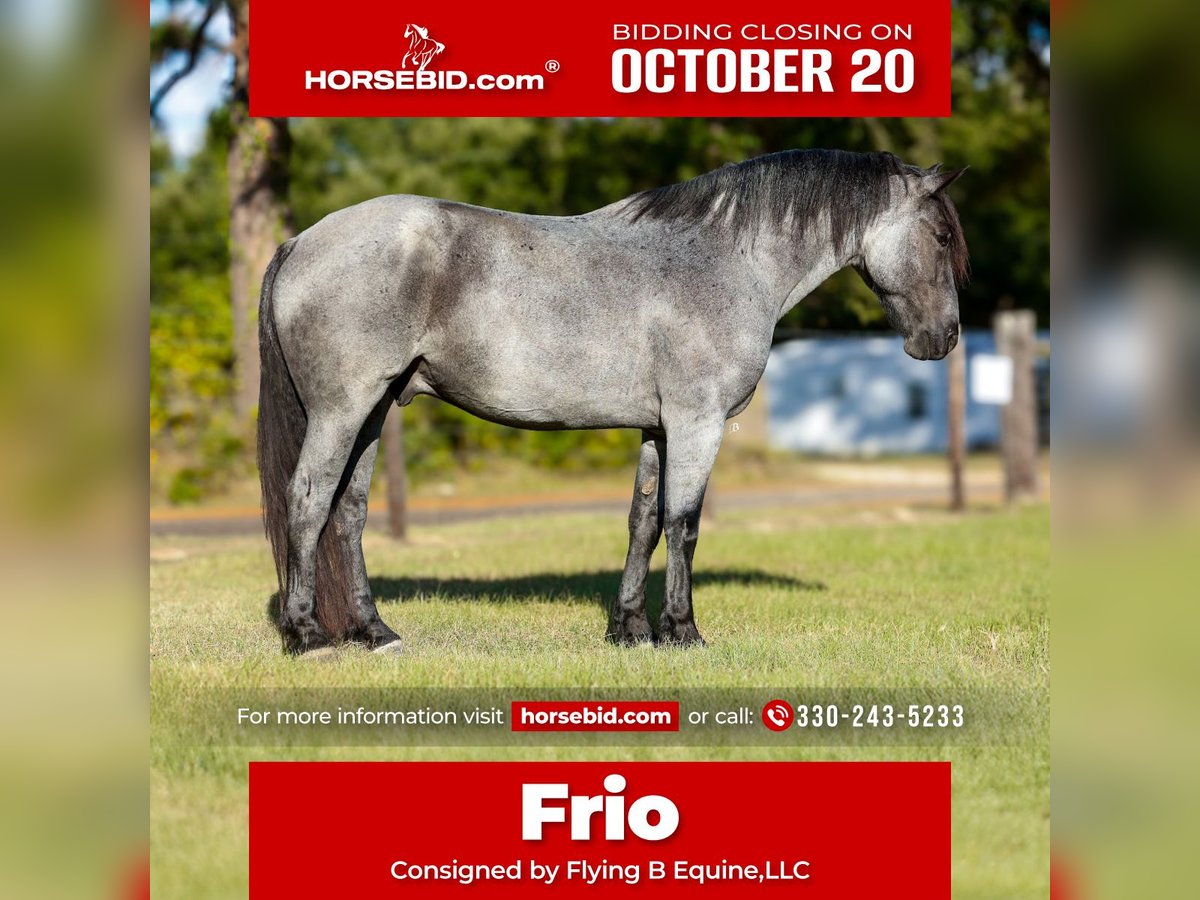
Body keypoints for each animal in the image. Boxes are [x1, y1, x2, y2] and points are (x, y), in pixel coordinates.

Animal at [257, 149, 969, 656]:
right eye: (940, 239)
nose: (945, 338)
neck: (722, 262)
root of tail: (300, 242)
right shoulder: (697, 423)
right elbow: (683, 524)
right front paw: (683, 631)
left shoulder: (659, 428)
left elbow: (643, 521)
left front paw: (630, 629)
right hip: (342, 411)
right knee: (309, 502)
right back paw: (308, 636)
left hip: (374, 412)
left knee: (348, 513)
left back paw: (375, 633)